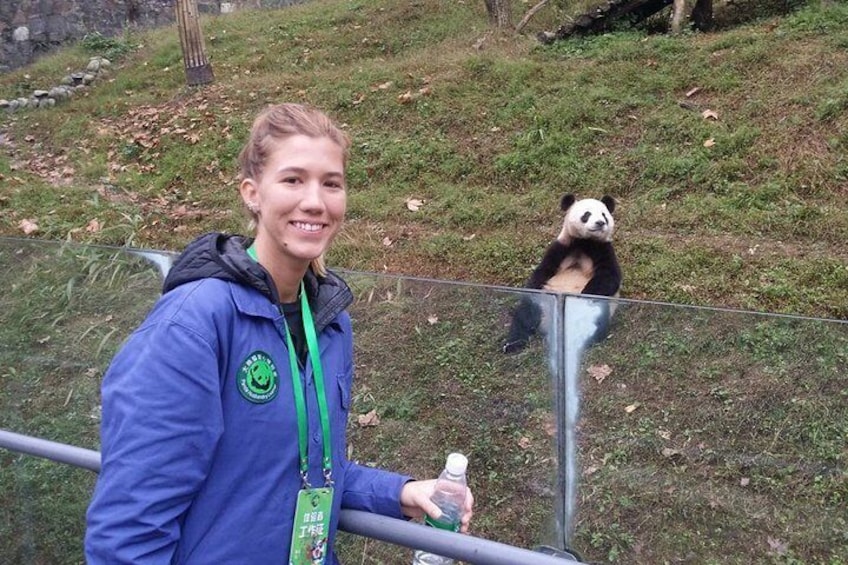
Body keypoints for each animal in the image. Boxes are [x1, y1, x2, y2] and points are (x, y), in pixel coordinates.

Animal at [500, 194, 620, 352]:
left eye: (604, 215)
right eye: (587, 214)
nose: (600, 223)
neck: (585, 241)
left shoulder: (603, 249)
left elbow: (610, 278)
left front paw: (584, 295)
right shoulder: (561, 247)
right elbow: (541, 273)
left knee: (596, 319)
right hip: (541, 305)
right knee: (525, 315)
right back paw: (513, 344)